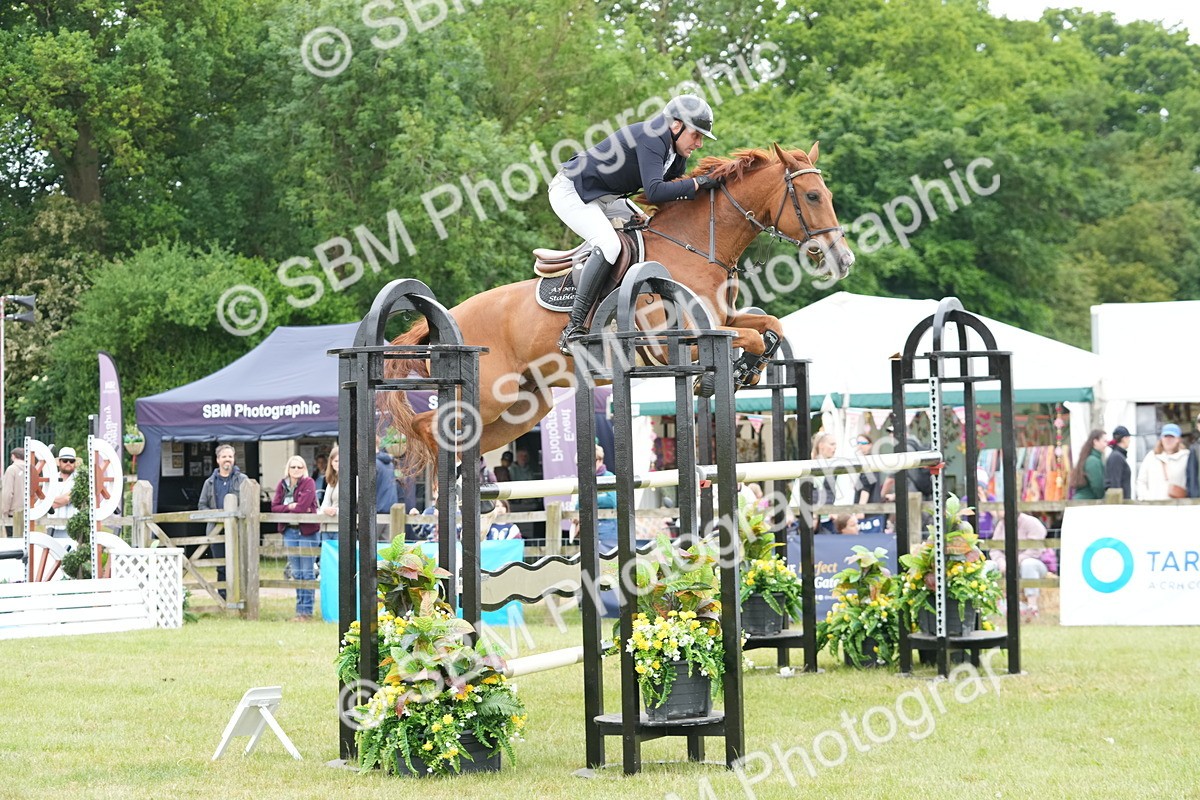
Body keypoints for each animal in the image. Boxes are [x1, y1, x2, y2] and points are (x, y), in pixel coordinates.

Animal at [387, 142, 855, 473]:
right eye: (813, 196)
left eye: (828, 193)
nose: (843, 259)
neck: (693, 248)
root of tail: (448, 318)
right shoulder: (671, 343)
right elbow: (751, 335)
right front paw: (729, 372)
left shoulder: (722, 320)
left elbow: (769, 326)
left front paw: (748, 369)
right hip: (484, 396)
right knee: (431, 428)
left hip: (522, 406)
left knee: (468, 439)